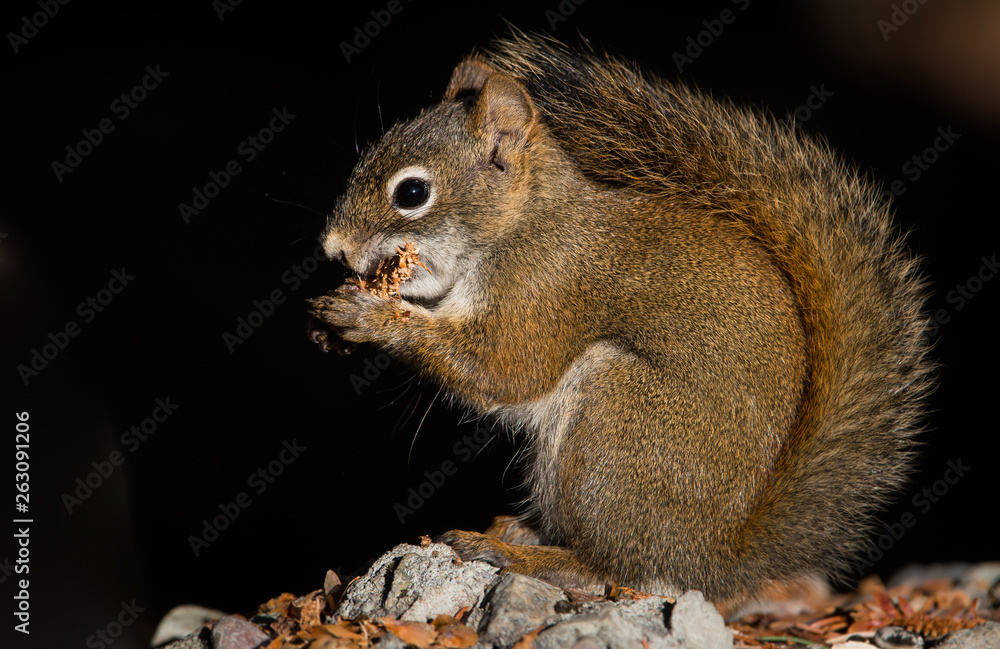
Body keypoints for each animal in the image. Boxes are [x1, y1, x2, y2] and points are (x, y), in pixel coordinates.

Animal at [308, 33, 933, 614]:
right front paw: (331, 329)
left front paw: (370, 317)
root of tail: (708, 556)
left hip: (615, 417)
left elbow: (504, 368)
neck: (522, 222)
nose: (332, 247)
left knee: (607, 564)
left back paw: (518, 555)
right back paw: (520, 530)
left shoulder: (546, 287)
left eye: (412, 192)